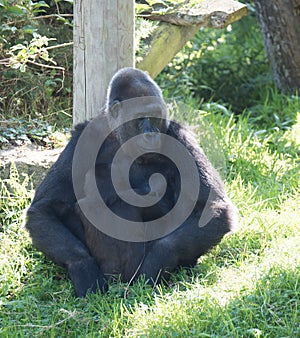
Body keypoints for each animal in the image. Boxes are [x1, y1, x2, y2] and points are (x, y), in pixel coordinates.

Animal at [25, 68, 238, 296]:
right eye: (140, 117)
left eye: (155, 116)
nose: (151, 134)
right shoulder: (83, 137)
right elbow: (46, 208)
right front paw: (83, 268)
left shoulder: (180, 136)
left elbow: (210, 208)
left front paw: (155, 264)